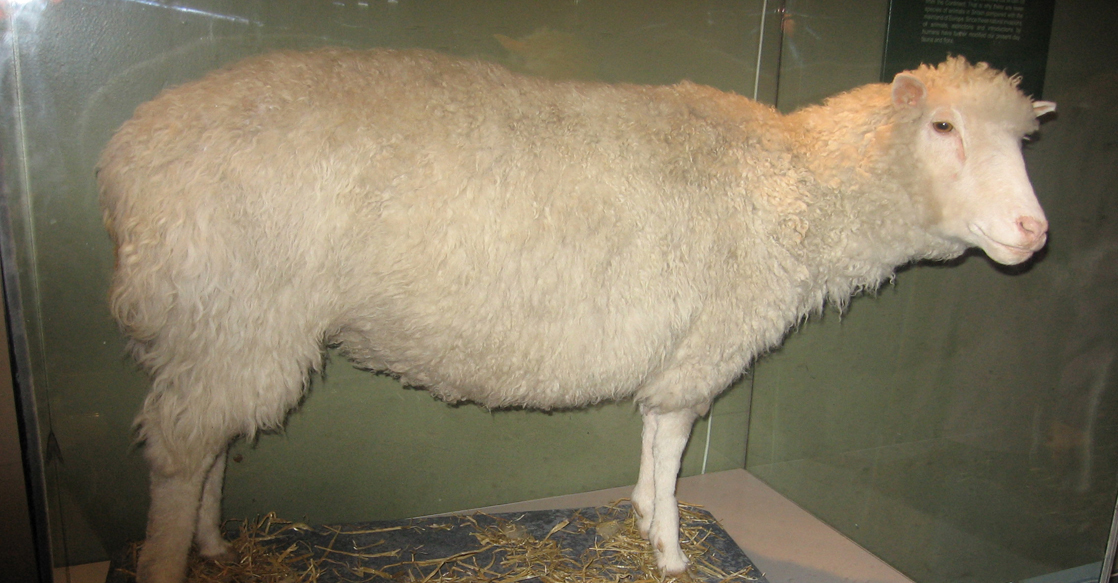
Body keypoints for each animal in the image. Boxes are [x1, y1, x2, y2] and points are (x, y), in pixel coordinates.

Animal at [98, 48, 1055, 581]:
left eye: (1024, 144)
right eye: (942, 127)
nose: (1034, 232)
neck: (795, 188)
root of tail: (129, 153)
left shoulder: (678, 349)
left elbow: (652, 444)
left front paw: (639, 519)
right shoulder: (704, 345)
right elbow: (671, 449)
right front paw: (669, 550)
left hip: (227, 326)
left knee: (211, 443)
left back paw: (216, 547)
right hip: (233, 304)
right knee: (180, 453)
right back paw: (167, 560)